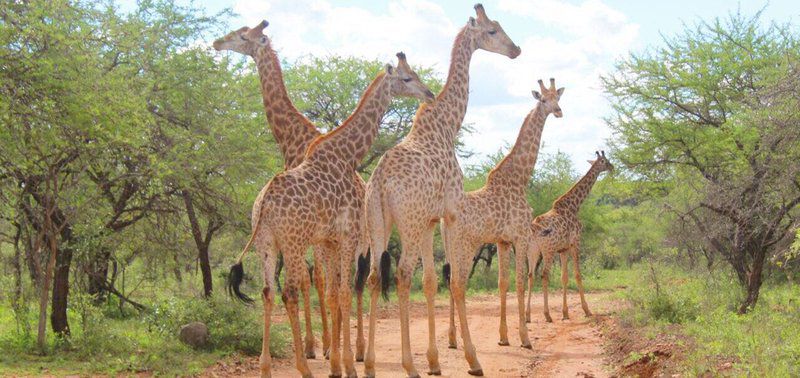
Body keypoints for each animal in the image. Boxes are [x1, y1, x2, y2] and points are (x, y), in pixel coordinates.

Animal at [228, 53, 434, 378]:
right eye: (407, 78)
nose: (429, 94)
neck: (347, 155)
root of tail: (265, 204)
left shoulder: (329, 240)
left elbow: (336, 293)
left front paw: (338, 363)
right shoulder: (346, 235)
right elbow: (343, 292)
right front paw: (348, 365)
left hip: (266, 243)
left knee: (267, 291)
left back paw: (266, 367)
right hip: (294, 243)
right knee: (290, 291)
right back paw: (305, 366)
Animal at [362, 4, 520, 376]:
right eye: (492, 30)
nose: (516, 49)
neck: (448, 124)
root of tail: (381, 181)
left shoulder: (431, 220)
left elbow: (432, 281)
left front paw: (435, 359)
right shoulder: (451, 212)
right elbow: (457, 280)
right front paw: (472, 359)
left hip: (379, 222)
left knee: (376, 276)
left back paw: (371, 364)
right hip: (407, 222)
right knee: (402, 274)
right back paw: (409, 365)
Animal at [444, 78, 564, 350]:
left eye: (558, 97)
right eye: (543, 99)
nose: (559, 111)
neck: (520, 179)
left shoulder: (502, 241)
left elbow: (502, 283)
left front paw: (503, 337)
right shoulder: (521, 236)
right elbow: (519, 282)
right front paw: (525, 338)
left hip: (449, 248)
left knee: (449, 282)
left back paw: (453, 339)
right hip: (465, 246)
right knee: (458, 284)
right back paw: (465, 344)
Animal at [524, 151, 612, 322]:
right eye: (605, 161)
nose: (612, 167)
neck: (574, 206)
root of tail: (533, 228)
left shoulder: (563, 249)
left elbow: (564, 277)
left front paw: (565, 313)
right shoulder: (575, 243)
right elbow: (578, 275)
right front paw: (587, 310)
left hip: (533, 251)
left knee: (531, 276)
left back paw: (527, 316)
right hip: (548, 250)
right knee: (544, 275)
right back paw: (547, 315)